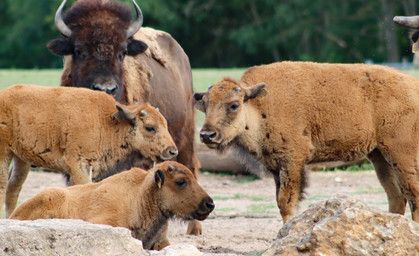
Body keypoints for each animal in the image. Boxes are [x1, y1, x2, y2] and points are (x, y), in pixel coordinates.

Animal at [0, 84, 177, 218]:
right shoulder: (79, 165)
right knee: (3, 185)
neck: (108, 121)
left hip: (21, 159)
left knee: (13, 188)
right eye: (150, 127)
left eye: (166, 124)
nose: (172, 151)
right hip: (4, 153)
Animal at [46, 0, 201, 235]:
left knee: (190, 166)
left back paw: (194, 230)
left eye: (122, 53)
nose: (106, 88)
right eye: (79, 51)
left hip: (186, 136)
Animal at [194, 61, 419, 223]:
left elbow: (286, 203)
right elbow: (280, 202)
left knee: (413, 194)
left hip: (401, 155)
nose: (206, 135)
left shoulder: (292, 162)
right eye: (205, 104)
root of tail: (413, 86)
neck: (259, 105)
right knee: (397, 197)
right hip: (379, 156)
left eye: (233, 105)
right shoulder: (276, 167)